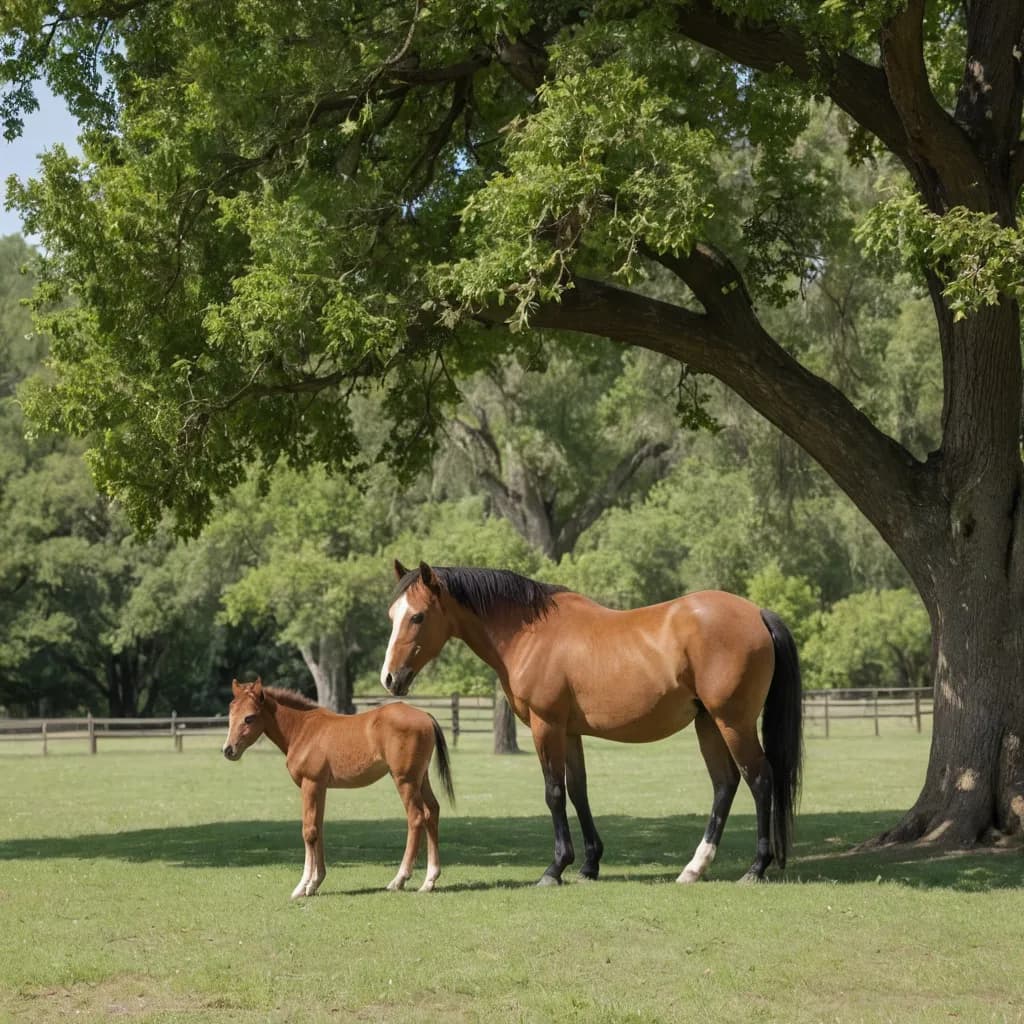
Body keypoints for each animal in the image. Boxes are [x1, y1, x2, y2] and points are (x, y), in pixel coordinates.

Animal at [222, 678, 455, 896]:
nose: (228, 750)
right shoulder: (320, 787)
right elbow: (318, 828)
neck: (303, 729)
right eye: (230, 716)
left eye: (249, 717)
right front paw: (315, 883)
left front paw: (302, 886)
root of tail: (425, 716)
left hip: (405, 780)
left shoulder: (310, 784)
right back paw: (429, 881)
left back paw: (399, 879)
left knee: (416, 817)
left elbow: (309, 831)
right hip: (420, 778)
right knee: (432, 812)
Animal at [380, 561, 802, 887]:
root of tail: (757, 613)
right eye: (391, 616)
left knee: (759, 779)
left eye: (417, 616)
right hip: (709, 724)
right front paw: (588, 864)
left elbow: (554, 792)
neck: (529, 633)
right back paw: (694, 868)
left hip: (733, 722)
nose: (389, 678)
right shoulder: (569, 732)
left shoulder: (546, 726)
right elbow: (578, 791)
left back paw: (755, 868)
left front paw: (555, 868)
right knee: (725, 784)